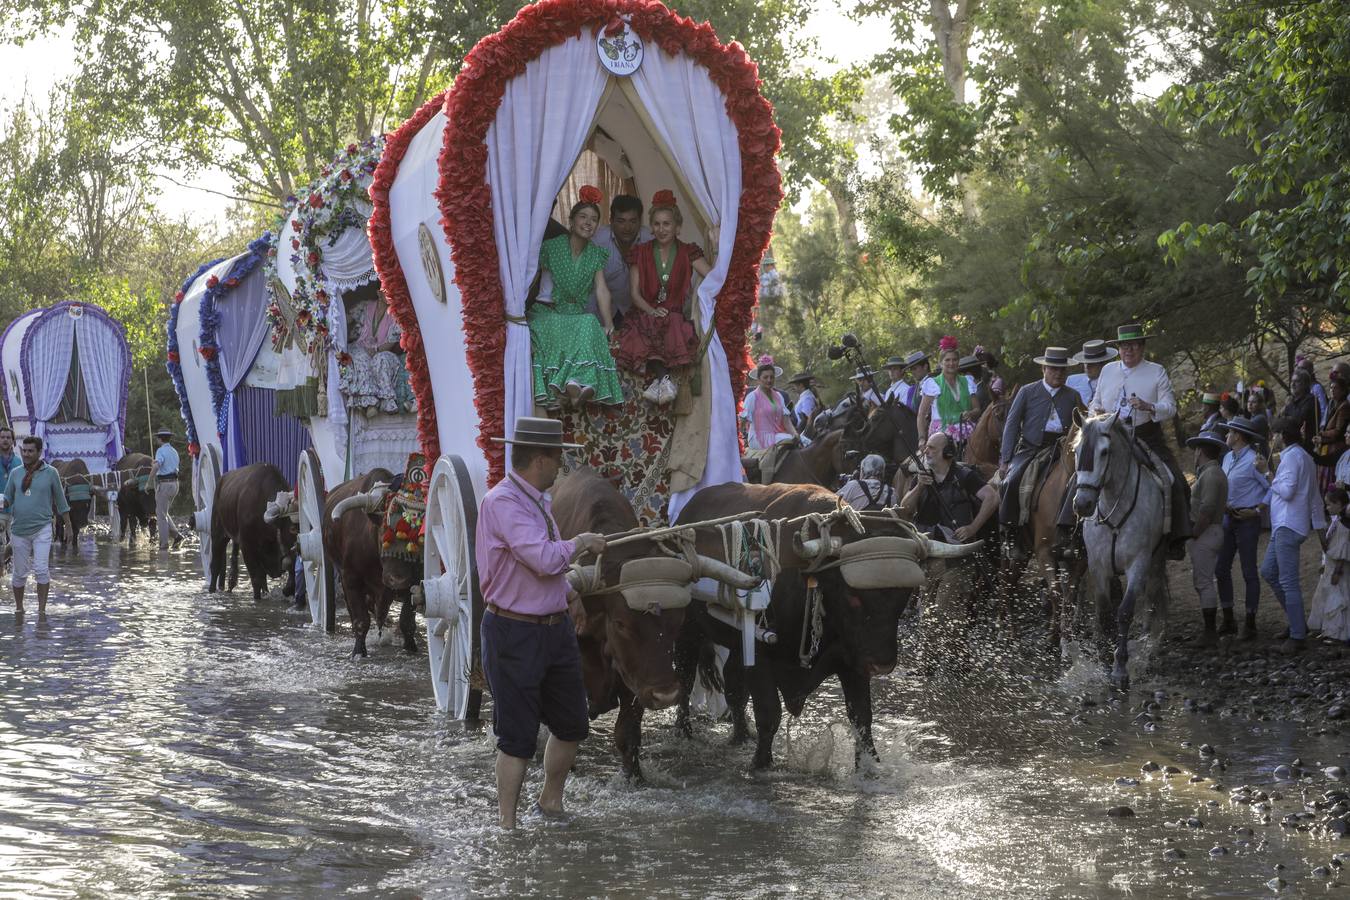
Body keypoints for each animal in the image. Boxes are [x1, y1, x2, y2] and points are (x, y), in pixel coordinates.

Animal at [1074, 415, 1171, 690]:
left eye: (1105, 452)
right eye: (1076, 451)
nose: (1082, 504)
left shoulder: (1138, 563)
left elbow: (1125, 611)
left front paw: (1120, 668)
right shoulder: (1098, 566)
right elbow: (1105, 612)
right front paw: (1105, 659)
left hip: (1156, 561)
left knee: (1153, 599)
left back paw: (1151, 647)